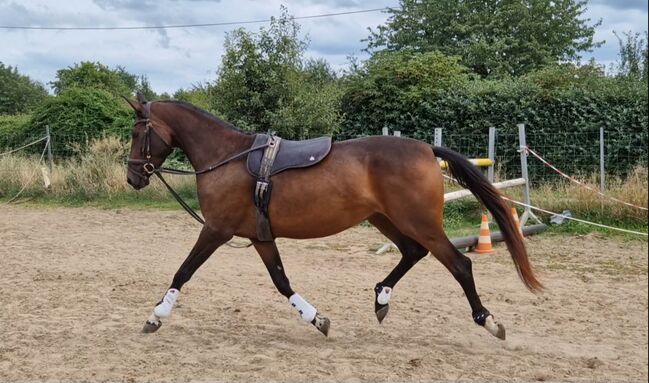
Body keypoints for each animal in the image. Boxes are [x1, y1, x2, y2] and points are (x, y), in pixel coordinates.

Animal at [124, 97, 540, 340]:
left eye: (136, 132)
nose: (133, 177)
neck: (227, 157)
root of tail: (426, 149)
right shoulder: (260, 237)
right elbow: (281, 281)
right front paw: (317, 319)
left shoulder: (216, 230)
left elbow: (183, 271)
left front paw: (156, 316)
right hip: (386, 220)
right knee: (412, 253)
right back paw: (381, 297)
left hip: (420, 223)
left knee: (459, 264)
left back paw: (487, 320)